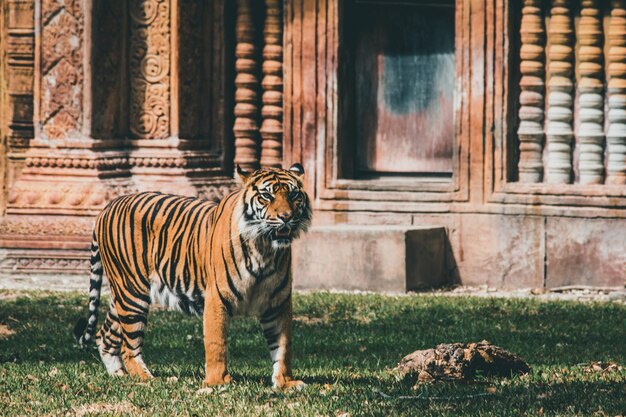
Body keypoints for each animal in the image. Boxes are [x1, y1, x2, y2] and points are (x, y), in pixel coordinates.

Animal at [73, 162, 312, 386]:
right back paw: (147, 379)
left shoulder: (278, 302)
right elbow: (216, 342)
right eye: (266, 196)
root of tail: (108, 207)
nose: (286, 217)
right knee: (129, 346)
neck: (265, 249)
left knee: (105, 336)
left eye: (293, 195)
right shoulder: (217, 297)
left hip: (122, 294)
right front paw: (218, 382)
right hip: (132, 293)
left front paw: (286, 382)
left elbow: (283, 346)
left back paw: (120, 376)